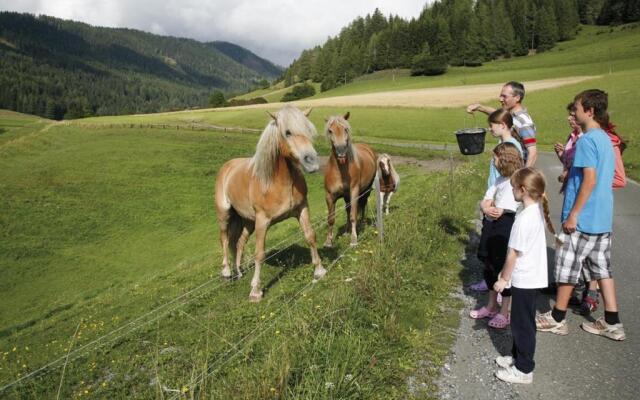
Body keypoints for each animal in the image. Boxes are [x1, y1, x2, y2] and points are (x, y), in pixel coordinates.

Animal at [215, 104, 328, 302]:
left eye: (308, 130)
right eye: (287, 132)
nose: (312, 162)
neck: (276, 182)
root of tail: (227, 167)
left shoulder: (302, 209)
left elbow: (310, 236)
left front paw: (319, 270)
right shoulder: (263, 220)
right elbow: (259, 253)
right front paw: (255, 291)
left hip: (248, 221)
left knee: (239, 242)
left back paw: (239, 271)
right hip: (225, 215)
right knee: (224, 239)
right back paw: (227, 272)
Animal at [322, 112, 378, 247]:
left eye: (346, 129)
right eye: (330, 131)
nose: (341, 151)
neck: (340, 171)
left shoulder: (354, 192)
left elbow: (353, 215)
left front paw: (354, 239)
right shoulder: (329, 196)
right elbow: (331, 219)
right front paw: (328, 241)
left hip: (366, 190)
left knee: (363, 204)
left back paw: (361, 223)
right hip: (346, 196)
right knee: (348, 209)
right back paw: (347, 230)